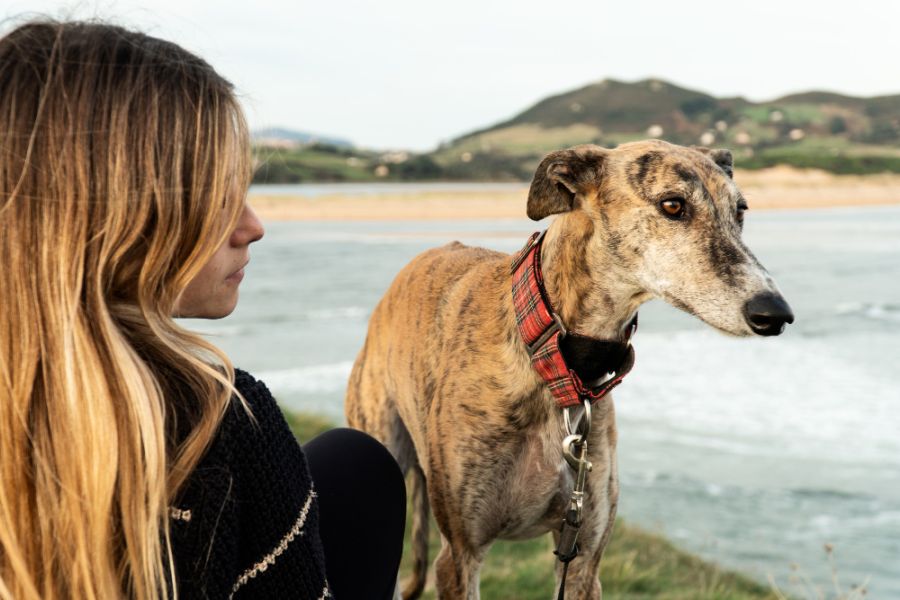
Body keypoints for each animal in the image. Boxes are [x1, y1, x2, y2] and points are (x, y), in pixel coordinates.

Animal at [344, 142, 796, 600]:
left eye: (740, 210)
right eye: (673, 205)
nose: (775, 314)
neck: (554, 360)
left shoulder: (583, 553)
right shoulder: (459, 555)